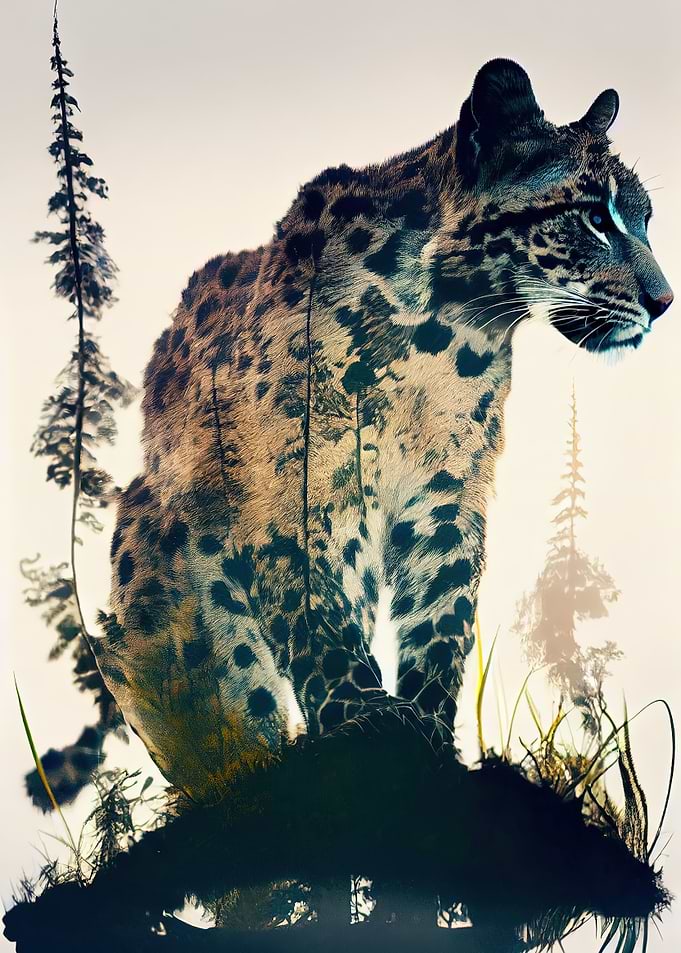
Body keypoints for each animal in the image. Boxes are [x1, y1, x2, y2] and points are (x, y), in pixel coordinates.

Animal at [90, 58, 672, 804]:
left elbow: (442, 612)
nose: (663, 302)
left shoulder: (449, 491)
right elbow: (314, 606)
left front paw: (427, 728)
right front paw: (360, 714)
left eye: (646, 220)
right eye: (594, 215)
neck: (442, 330)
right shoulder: (296, 482)